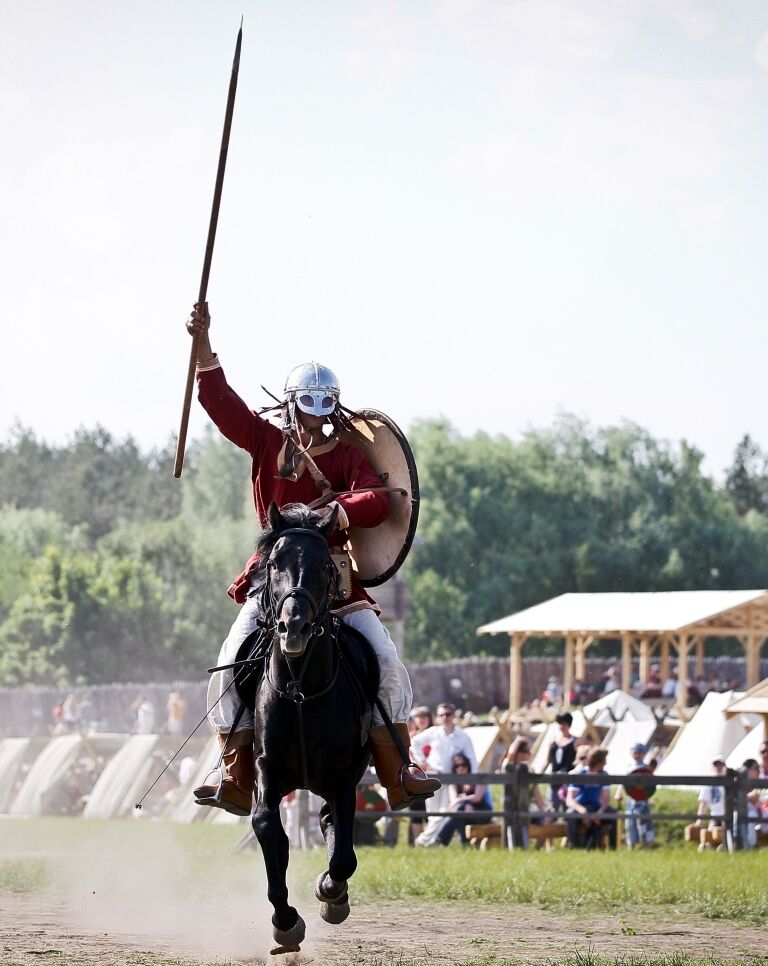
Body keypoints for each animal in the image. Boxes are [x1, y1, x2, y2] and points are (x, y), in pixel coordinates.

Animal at [234, 502, 378, 956]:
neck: (301, 690)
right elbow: (268, 829)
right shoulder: (266, 769)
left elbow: (344, 854)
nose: (293, 627)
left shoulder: (343, 777)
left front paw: (331, 893)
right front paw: (284, 921)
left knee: (333, 823)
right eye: (274, 563)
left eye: (324, 567)